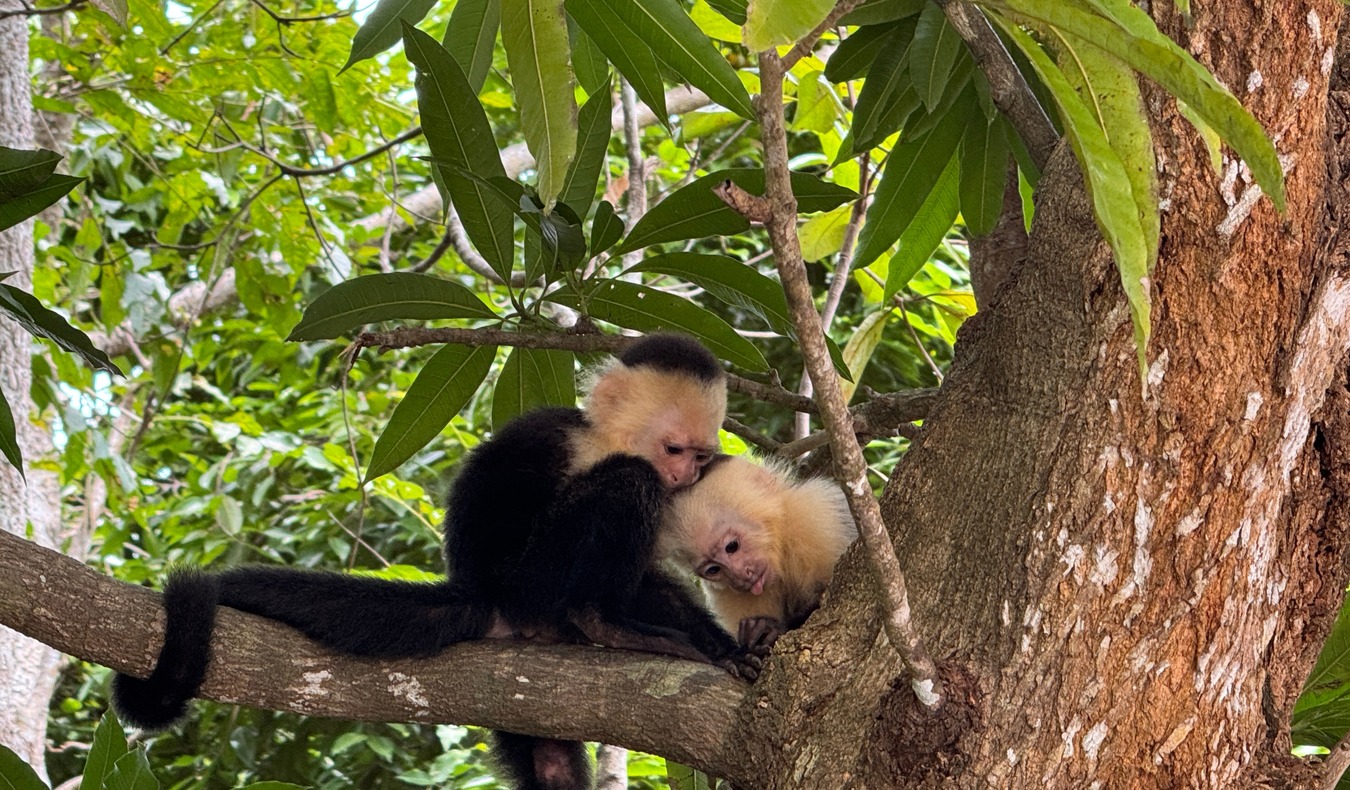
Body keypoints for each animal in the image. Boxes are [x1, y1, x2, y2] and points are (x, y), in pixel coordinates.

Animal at [113, 332, 772, 788]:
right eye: (675, 449)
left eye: (700, 456)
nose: (684, 476)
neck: (600, 438)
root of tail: (484, 600)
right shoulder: (555, 438)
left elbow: (653, 582)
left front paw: (726, 649)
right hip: (525, 588)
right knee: (621, 490)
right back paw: (602, 623)